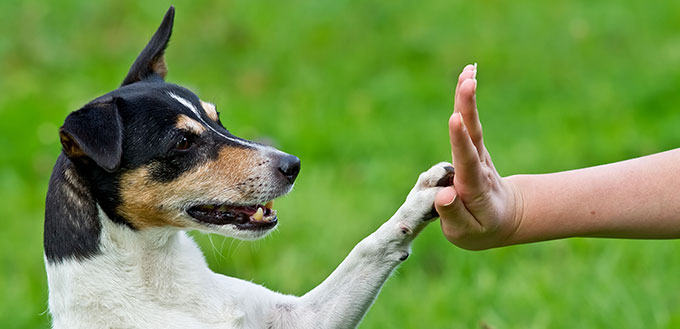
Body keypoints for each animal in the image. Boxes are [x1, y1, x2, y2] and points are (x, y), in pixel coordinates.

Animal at [45, 5, 454, 328]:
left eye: (218, 118)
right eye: (182, 142)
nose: (293, 165)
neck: (158, 277)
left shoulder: (303, 318)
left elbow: (368, 248)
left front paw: (420, 200)